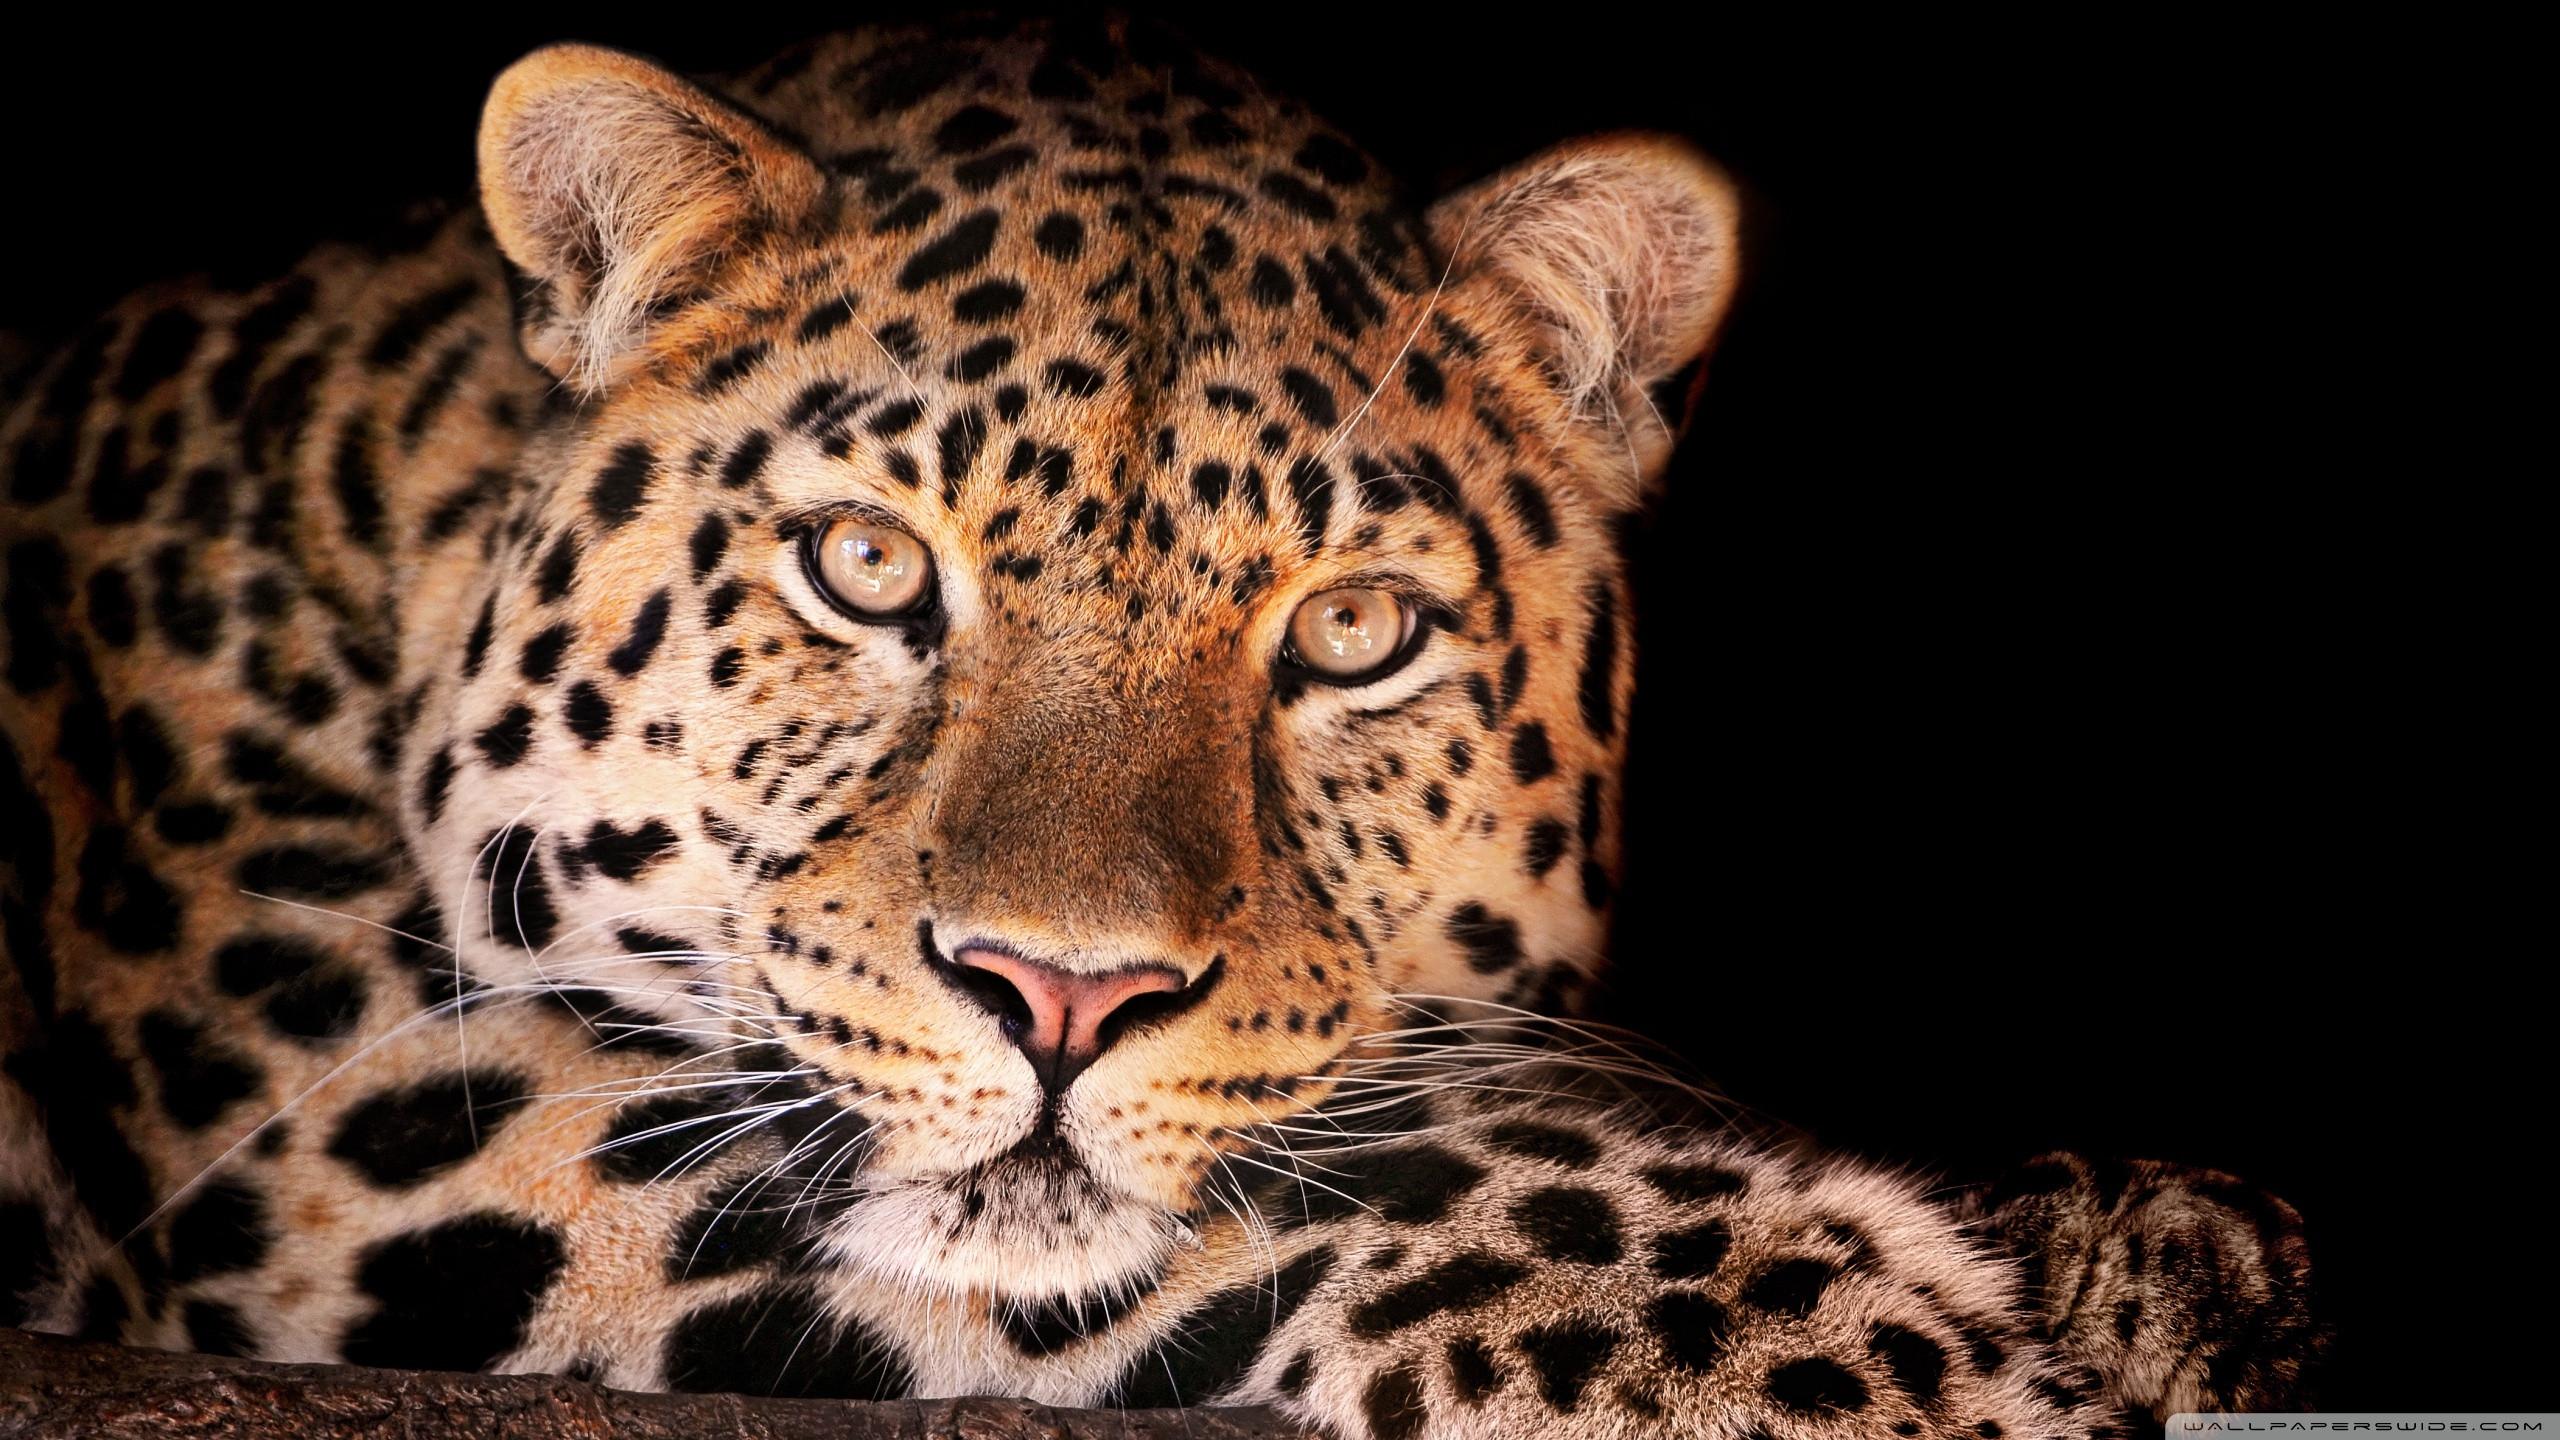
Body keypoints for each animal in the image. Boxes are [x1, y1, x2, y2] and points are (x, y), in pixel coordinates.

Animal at [0, 16, 2321, 1438]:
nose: (1059, 995)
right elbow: (1325, 1177)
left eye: (1353, 630)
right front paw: (1818, 1350)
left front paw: (2139, 1249)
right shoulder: (333, 1110)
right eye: (867, 568)